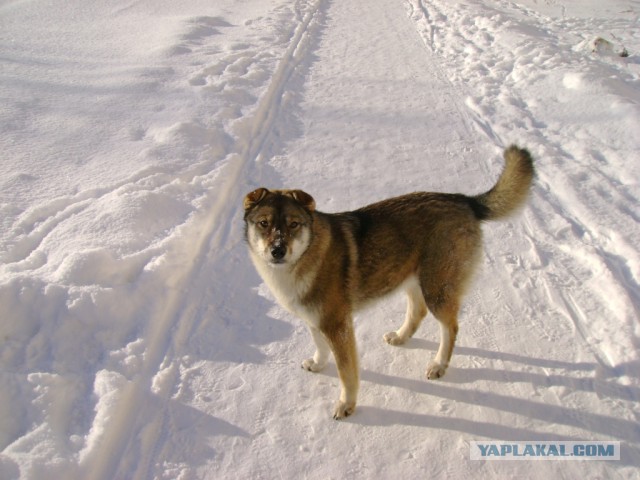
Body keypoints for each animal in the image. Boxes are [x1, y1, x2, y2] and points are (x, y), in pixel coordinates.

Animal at [245, 144, 536, 418]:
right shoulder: (316, 320)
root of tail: (463, 200)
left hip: (436, 290)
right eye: (263, 223)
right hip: (411, 280)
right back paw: (400, 337)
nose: (278, 250)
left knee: (451, 328)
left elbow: (347, 374)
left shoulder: (338, 326)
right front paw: (317, 365)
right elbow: (320, 347)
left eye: (293, 224)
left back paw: (438, 365)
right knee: (418, 313)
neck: (305, 257)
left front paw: (346, 405)